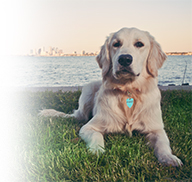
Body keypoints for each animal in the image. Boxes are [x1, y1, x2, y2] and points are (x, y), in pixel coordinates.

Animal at [40, 27, 182, 166]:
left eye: (139, 44)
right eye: (116, 44)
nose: (124, 59)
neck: (128, 91)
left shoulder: (156, 129)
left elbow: (163, 143)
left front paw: (169, 158)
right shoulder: (89, 127)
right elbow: (96, 137)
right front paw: (97, 152)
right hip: (87, 92)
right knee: (75, 116)